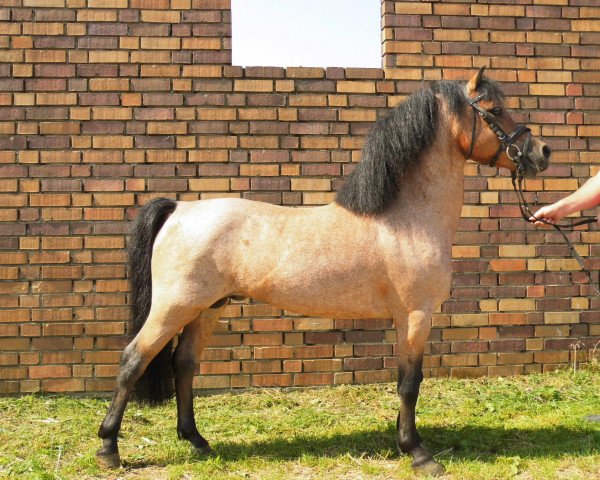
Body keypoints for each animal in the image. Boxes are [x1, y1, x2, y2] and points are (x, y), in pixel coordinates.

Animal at [97, 69, 548, 478]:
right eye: (495, 110)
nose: (542, 151)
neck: (405, 220)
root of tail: (179, 209)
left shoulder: (405, 319)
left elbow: (405, 380)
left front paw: (405, 442)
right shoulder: (418, 315)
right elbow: (410, 383)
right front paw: (418, 453)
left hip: (208, 308)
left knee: (184, 364)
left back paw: (197, 441)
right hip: (174, 306)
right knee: (133, 360)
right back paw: (108, 449)